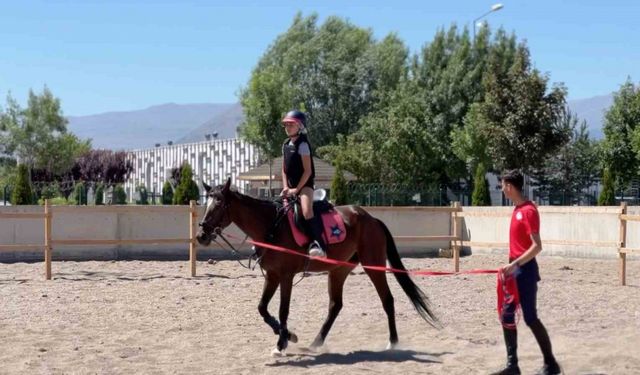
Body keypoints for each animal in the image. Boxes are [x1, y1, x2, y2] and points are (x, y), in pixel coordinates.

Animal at [195, 178, 436, 356]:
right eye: (207, 205)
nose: (201, 235)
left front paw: (282, 343)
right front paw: (288, 336)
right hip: (339, 270)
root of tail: (371, 219)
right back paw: (316, 342)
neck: (271, 226)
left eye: (219, 205)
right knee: (335, 305)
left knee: (387, 300)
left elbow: (283, 310)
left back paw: (393, 343)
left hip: (372, 265)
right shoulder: (272, 275)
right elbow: (262, 308)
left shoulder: (286, 276)